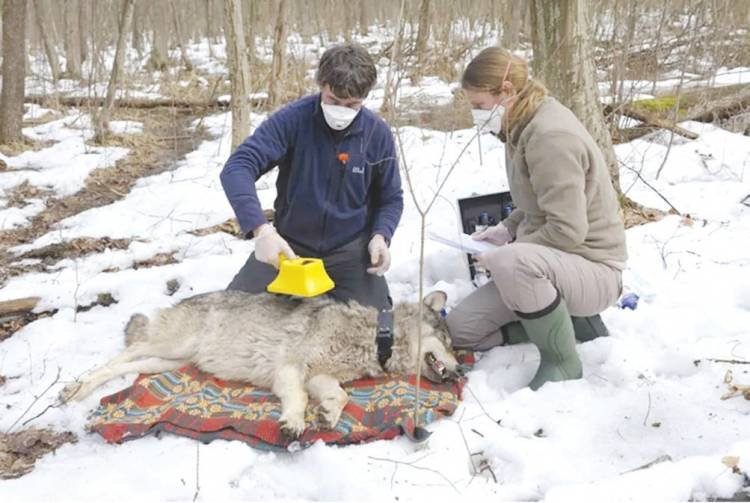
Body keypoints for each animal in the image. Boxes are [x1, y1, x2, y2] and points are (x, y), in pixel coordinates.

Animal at [61, 290, 462, 440]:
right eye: (447, 341)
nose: (460, 371)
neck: (375, 338)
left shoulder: (319, 376)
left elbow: (341, 396)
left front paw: (328, 414)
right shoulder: (290, 369)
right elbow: (298, 399)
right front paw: (294, 422)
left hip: (167, 361)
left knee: (127, 365)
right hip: (169, 345)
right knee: (120, 356)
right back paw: (74, 388)